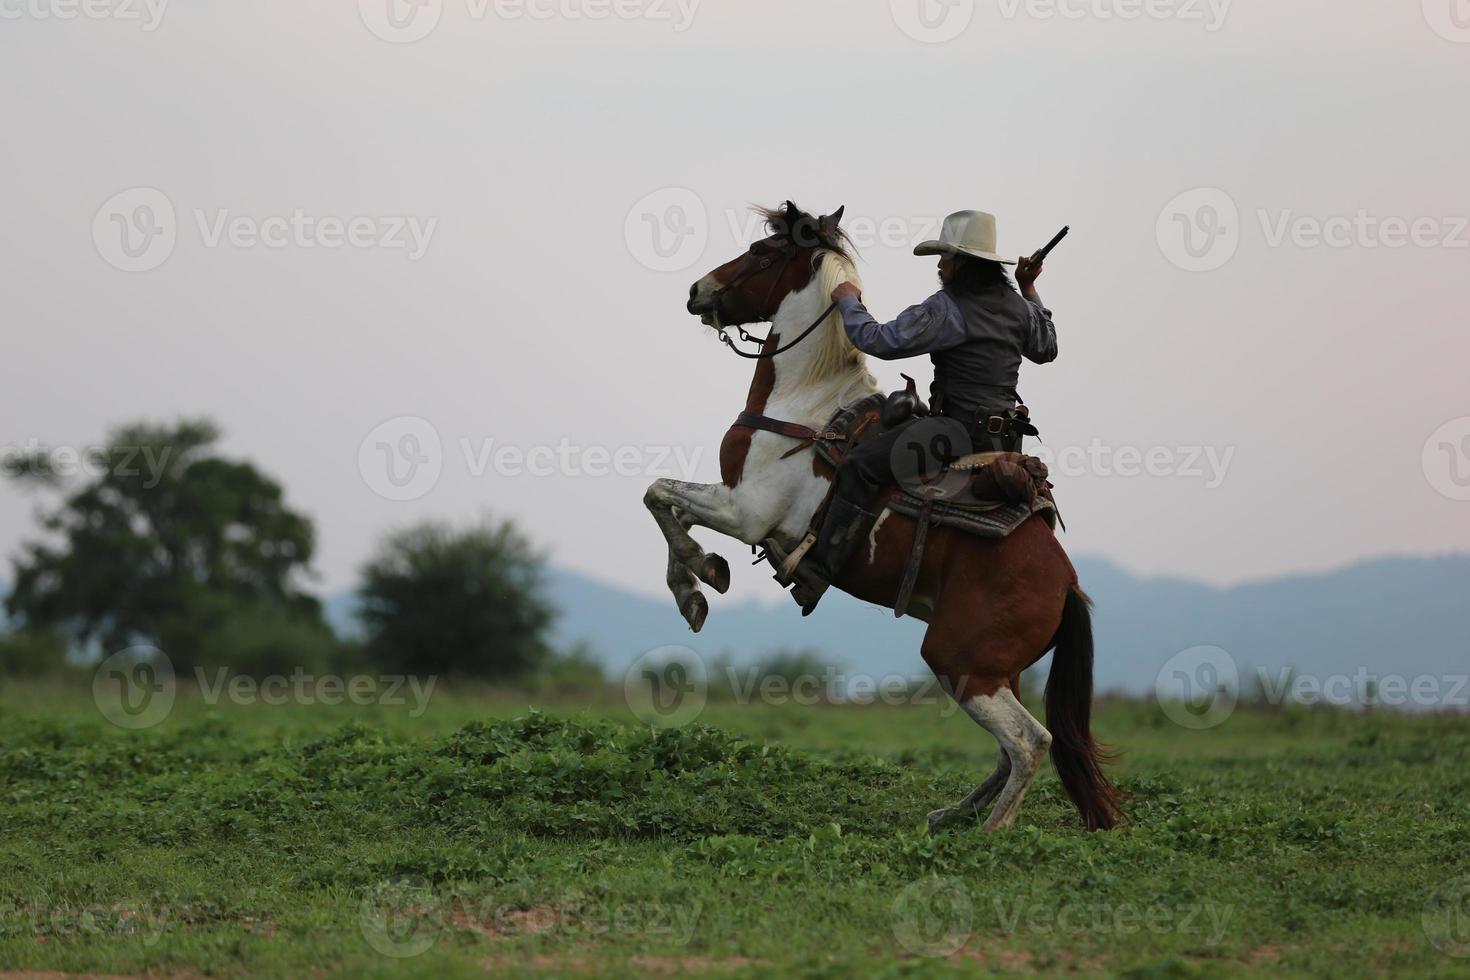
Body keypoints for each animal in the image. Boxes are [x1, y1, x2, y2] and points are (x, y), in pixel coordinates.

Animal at [646, 202, 1123, 834]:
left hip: (958, 660)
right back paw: (952, 816)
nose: (698, 291)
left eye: (762, 253)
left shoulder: (744, 511)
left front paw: (699, 579)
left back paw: (989, 835)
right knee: (1008, 749)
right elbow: (669, 504)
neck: (806, 406)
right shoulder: (735, 504)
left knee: (1029, 742)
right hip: (1001, 670)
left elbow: (658, 494)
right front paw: (700, 583)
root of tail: (1068, 584)